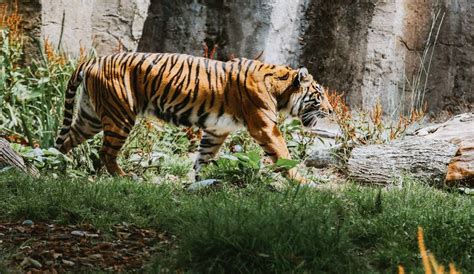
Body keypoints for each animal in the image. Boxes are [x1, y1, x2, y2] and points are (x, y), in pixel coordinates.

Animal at [54, 52, 334, 183]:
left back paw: (56, 167)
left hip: (90, 116)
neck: (281, 89)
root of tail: (92, 60)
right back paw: (123, 177)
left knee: (65, 141)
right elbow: (284, 154)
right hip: (120, 115)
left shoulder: (217, 130)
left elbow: (203, 157)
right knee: (106, 153)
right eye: (319, 95)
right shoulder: (264, 126)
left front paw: (201, 183)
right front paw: (303, 183)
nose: (331, 111)